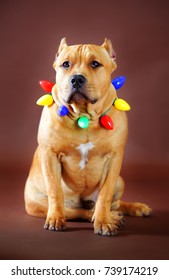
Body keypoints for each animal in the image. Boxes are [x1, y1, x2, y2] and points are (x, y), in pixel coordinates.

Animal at [24, 37, 152, 236]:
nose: (77, 79)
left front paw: (103, 221)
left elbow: (105, 195)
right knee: (77, 211)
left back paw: (134, 208)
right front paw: (55, 219)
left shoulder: (114, 159)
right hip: (37, 203)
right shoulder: (50, 155)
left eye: (95, 64)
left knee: (112, 203)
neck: (84, 117)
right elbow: (55, 191)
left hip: (120, 181)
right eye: (65, 64)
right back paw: (110, 216)